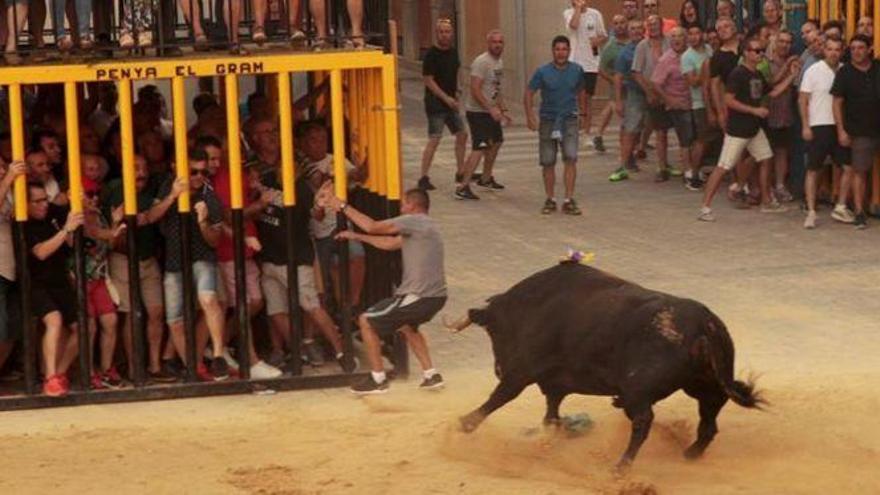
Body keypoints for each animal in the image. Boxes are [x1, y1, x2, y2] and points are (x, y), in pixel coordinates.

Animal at [446, 264, 764, 468]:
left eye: (493, 331)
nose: (497, 368)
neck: (531, 305)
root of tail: (704, 324)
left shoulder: (520, 371)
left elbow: (499, 397)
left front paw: (463, 423)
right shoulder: (554, 382)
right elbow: (551, 411)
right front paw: (552, 434)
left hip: (638, 391)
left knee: (643, 421)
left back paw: (620, 467)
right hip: (705, 386)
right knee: (709, 422)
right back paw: (690, 455)